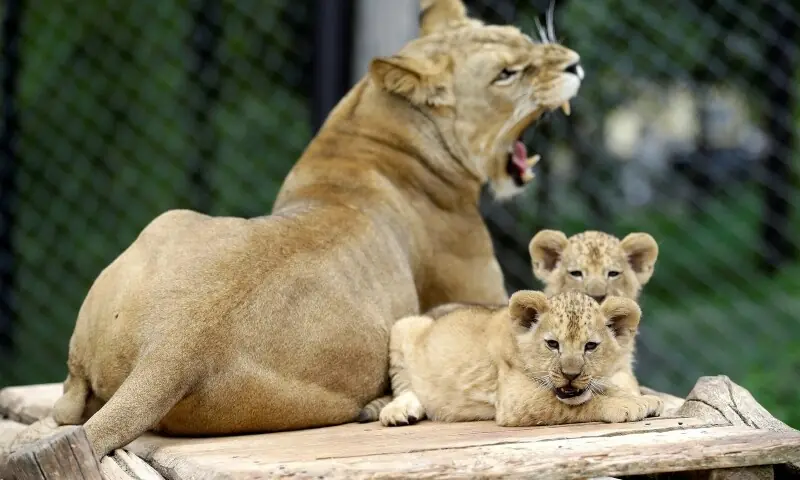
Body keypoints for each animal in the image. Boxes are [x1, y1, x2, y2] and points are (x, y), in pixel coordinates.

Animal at [42, 0, 585, 460]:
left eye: (522, 38)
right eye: (506, 74)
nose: (576, 64)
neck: (375, 126)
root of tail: (172, 351)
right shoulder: (480, 293)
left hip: (164, 224)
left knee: (67, 404)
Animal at [378, 290, 663, 427]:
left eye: (590, 346)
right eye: (552, 344)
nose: (570, 376)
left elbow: (612, 387)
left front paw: (643, 398)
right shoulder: (516, 401)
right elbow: (577, 405)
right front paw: (627, 404)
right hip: (404, 327)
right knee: (405, 386)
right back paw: (399, 411)